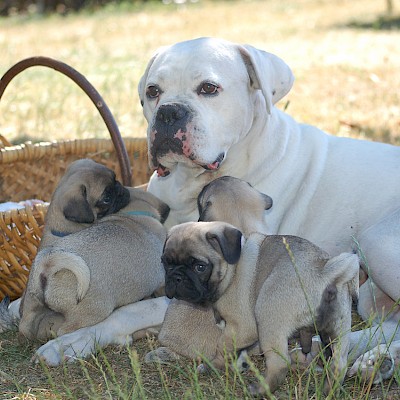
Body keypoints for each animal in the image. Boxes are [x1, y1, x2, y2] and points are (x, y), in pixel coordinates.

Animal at [18, 184, 169, 340]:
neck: (132, 216)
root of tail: (48, 263)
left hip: (31, 304)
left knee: (26, 327)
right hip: (90, 312)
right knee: (65, 330)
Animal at [162, 223, 360, 396]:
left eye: (200, 267)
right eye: (166, 263)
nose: (176, 277)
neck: (232, 271)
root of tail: (324, 272)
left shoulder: (242, 328)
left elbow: (222, 346)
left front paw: (214, 366)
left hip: (267, 315)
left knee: (279, 363)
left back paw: (259, 390)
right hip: (339, 329)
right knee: (339, 364)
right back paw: (328, 391)